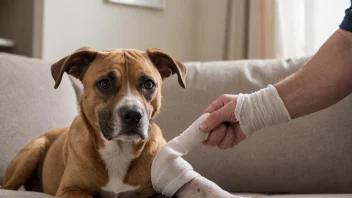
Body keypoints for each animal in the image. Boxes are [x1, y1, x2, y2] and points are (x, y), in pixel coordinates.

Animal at [0, 48, 187, 198]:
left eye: (148, 84)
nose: (133, 114)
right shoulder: (69, 189)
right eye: (104, 83)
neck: (119, 150)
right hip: (33, 152)